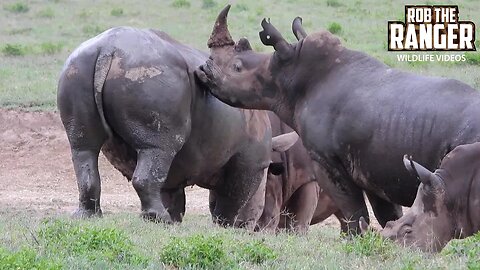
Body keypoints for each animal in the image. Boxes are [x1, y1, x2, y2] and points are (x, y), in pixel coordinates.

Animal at [56, 25, 272, 226]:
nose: (247, 225)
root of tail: (108, 49)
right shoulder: (252, 161)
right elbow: (233, 198)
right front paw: (223, 226)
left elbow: (171, 192)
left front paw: (175, 221)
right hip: (151, 76)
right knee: (158, 148)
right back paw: (159, 218)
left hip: (78, 69)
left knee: (84, 147)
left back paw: (88, 216)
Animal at [194, 5, 480, 234]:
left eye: (237, 67)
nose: (203, 69)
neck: (289, 76)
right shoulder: (373, 168)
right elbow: (386, 214)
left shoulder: (327, 161)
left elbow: (354, 212)